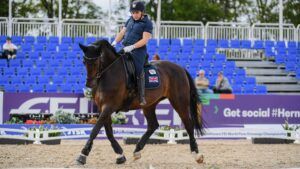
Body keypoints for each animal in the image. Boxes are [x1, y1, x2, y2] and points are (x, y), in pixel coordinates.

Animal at [76, 40, 205, 165]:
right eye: (84, 61)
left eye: (97, 62)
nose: (89, 84)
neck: (109, 73)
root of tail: (181, 68)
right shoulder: (102, 107)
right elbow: (108, 132)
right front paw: (120, 155)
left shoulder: (109, 107)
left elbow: (95, 130)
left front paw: (82, 155)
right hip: (149, 105)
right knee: (153, 125)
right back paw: (137, 151)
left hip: (179, 101)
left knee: (188, 124)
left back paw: (197, 154)